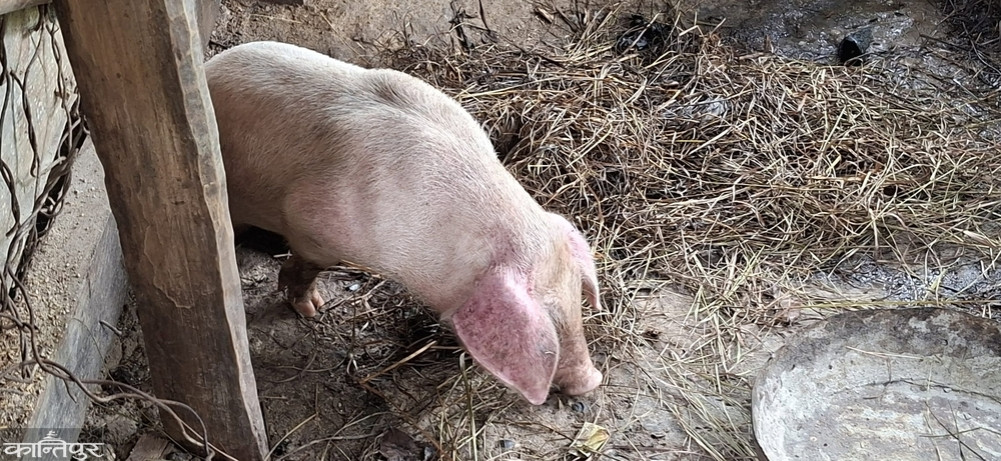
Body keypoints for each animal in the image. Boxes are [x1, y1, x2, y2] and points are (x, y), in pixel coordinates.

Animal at [204, 41, 602, 404]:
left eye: (577, 298)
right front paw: (312, 308)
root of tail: (209, 66)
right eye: (550, 319)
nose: (591, 380)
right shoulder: (314, 225)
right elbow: (306, 267)